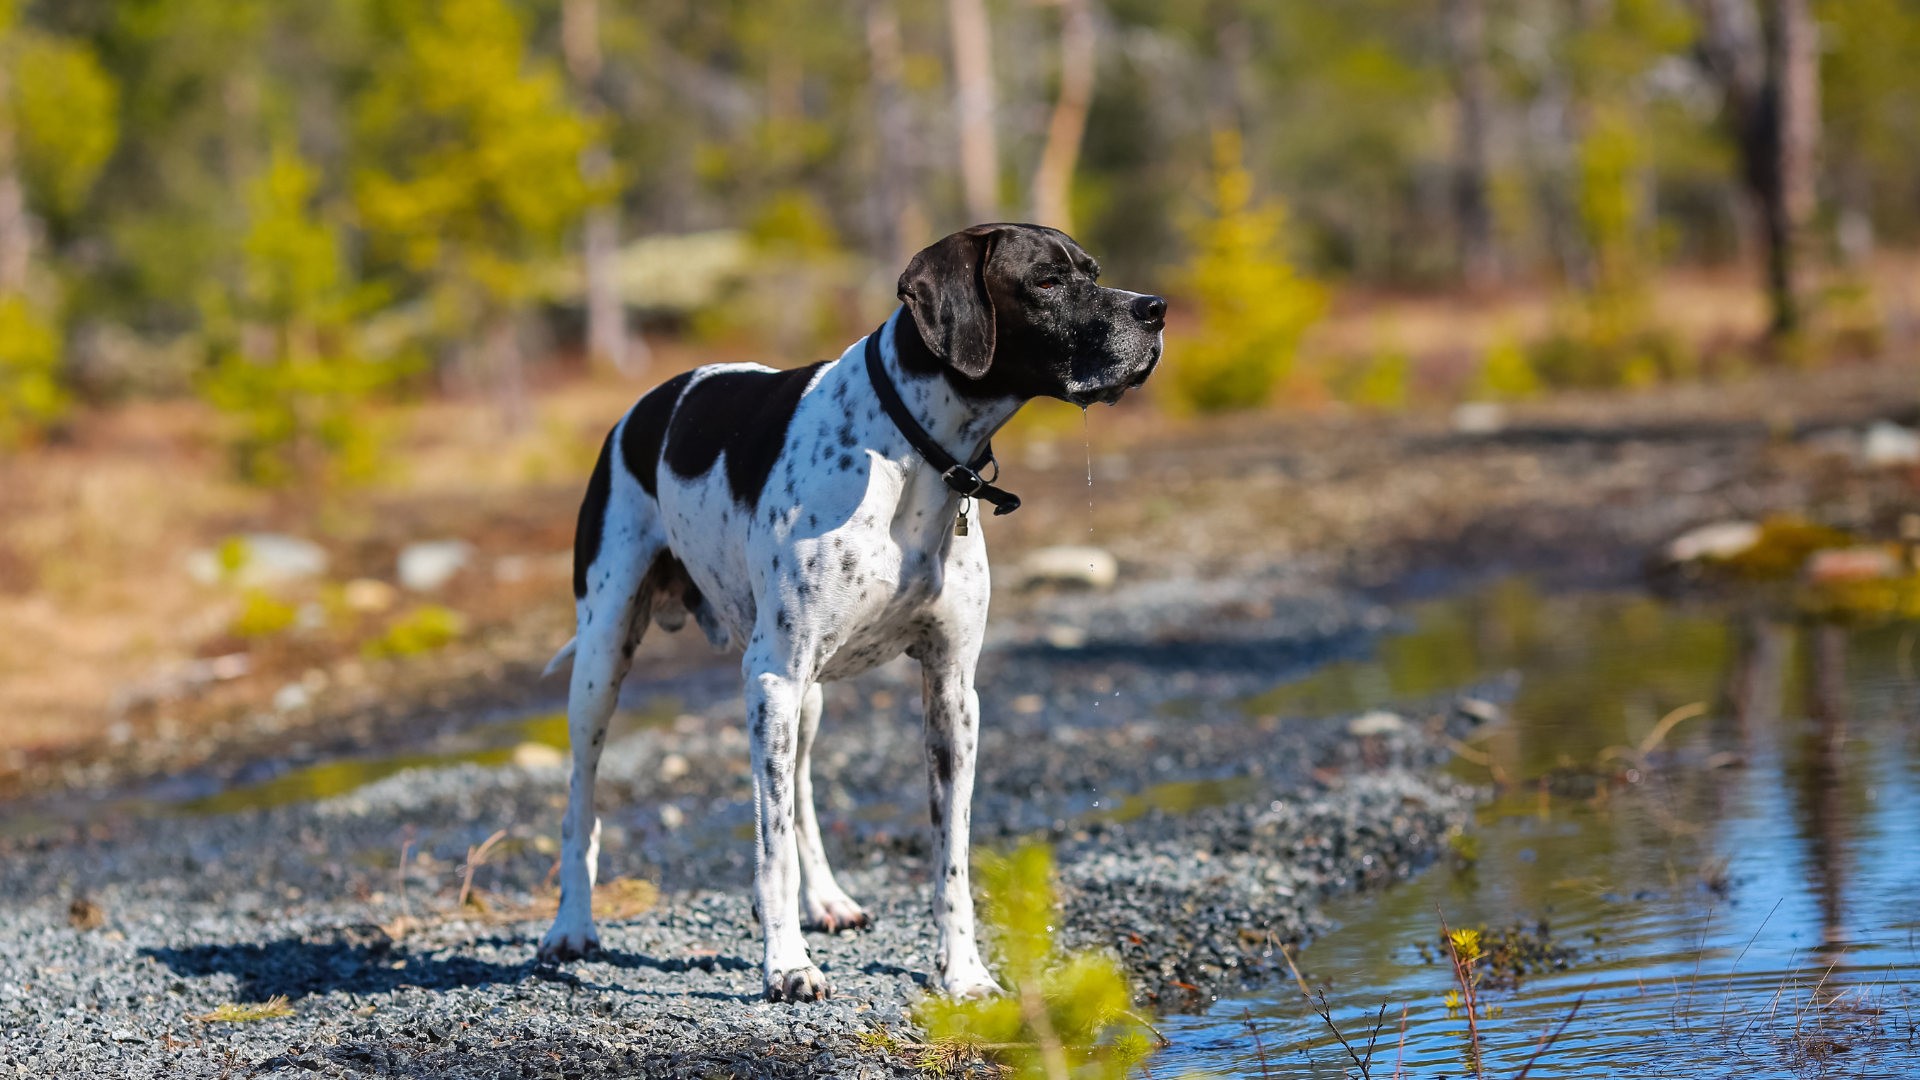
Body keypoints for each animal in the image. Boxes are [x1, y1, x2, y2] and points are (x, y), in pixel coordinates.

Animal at [541, 220, 1167, 999]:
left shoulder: (950, 694)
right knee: (582, 804)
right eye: (1048, 281)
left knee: (799, 792)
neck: (913, 454)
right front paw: (787, 965)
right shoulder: (774, 678)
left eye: (1095, 272)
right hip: (606, 665)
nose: (1156, 310)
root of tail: (643, 405)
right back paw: (571, 926)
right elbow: (771, 846)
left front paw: (964, 973)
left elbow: (949, 857)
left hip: (799, 698)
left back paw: (827, 900)